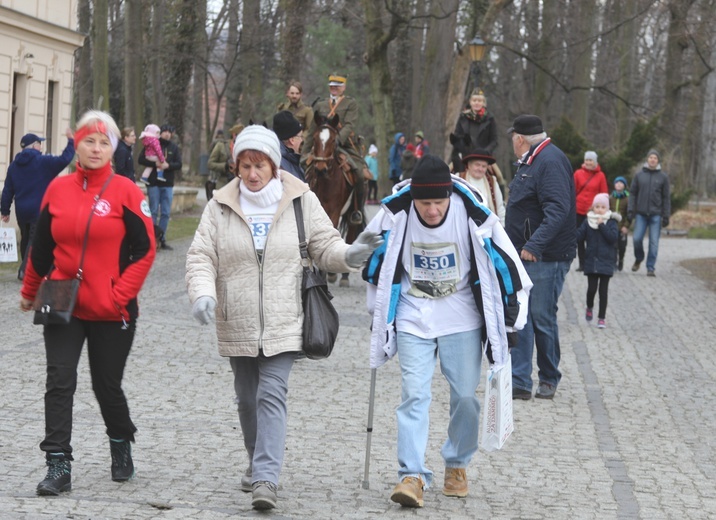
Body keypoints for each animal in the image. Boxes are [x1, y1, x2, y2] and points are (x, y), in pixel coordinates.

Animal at [304, 112, 366, 288]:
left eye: (333, 140)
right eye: (315, 138)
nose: (320, 169)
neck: (327, 182)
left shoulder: (333, 212)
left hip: (352, 214)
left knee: (350, 236)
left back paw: (344, 276)